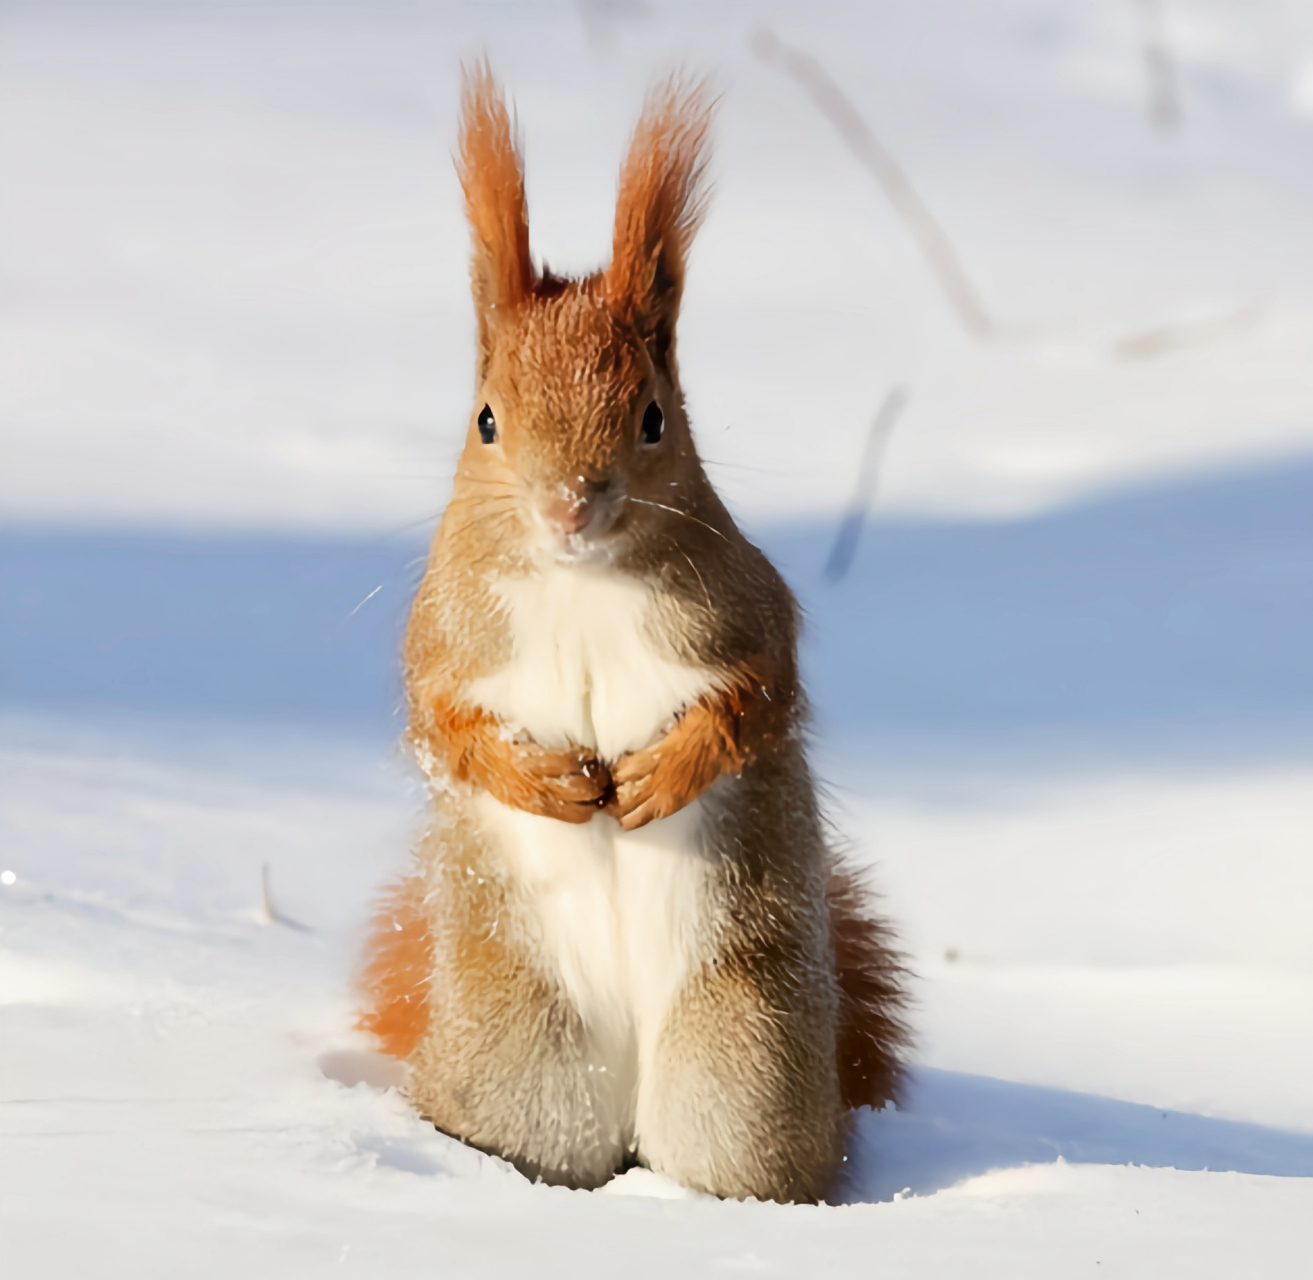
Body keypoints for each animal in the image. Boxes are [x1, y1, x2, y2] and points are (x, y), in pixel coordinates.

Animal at [365, 60, 908, 1202]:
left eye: (654, 417)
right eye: (486, 418)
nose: (570, 504)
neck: (580, 584)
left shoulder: (746, 611)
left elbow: (758, 697)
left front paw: (663, 774)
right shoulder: (444, 638)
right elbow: (441, 726)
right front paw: (548, 784)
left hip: (743, 1059)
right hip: (526, 1061)